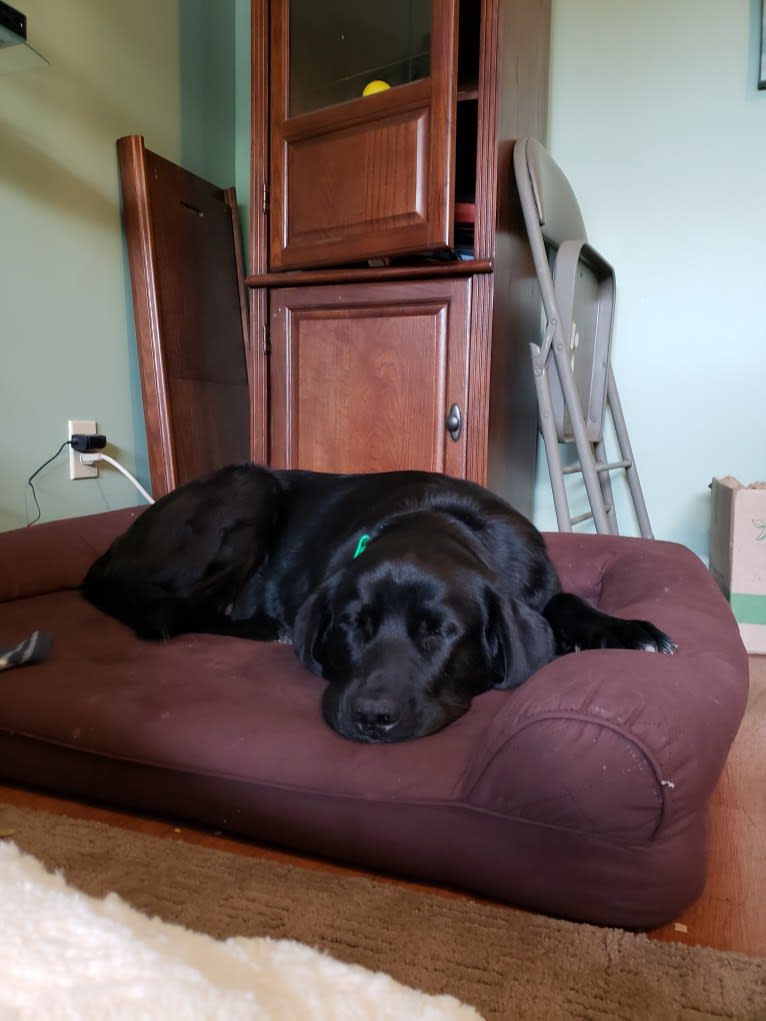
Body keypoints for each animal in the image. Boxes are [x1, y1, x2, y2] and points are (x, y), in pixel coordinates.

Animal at [81, 465, 674, 743]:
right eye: (352, 624)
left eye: (439, 631)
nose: (372, 717)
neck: (441, 520)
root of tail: (117, 545)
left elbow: (565, 600)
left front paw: (627, 630)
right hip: (248, 489)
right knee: (166, 613)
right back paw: (260, 627)